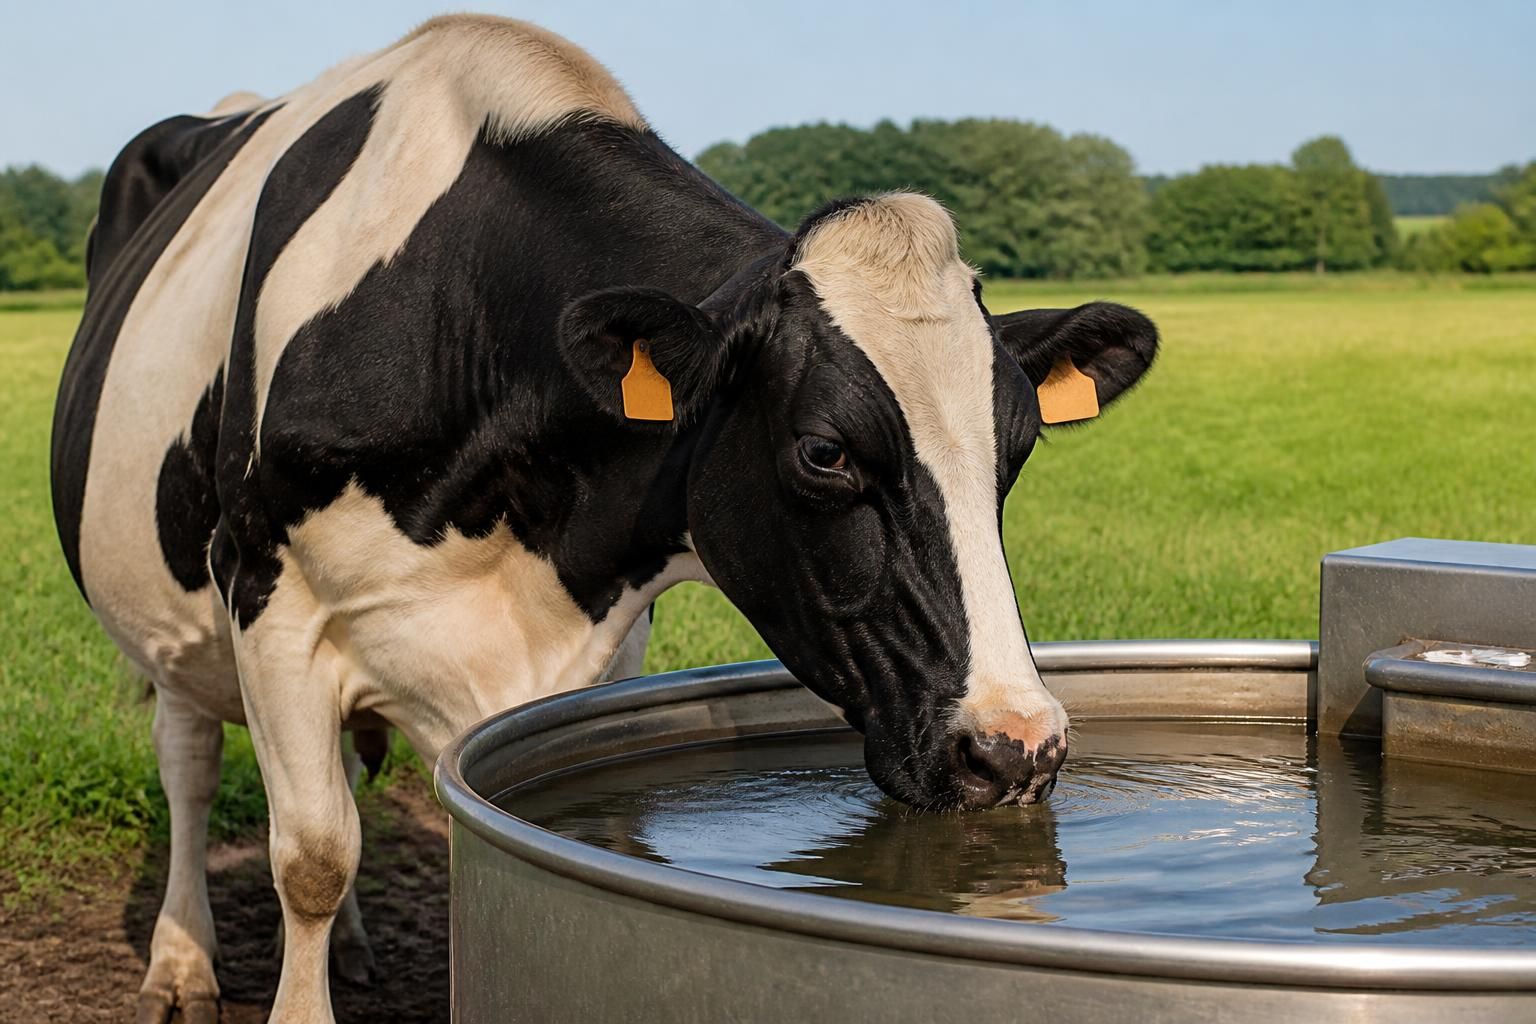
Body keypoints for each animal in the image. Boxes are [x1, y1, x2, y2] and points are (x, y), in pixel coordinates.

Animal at [51, 15, 1157, 1023]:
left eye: (1018, 446)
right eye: (824, 451)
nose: (1017, 748)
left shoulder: (602, 638)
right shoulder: (268, 596)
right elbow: (312, 856)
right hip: (169, 621)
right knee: (192, 768)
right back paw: (181, 964)